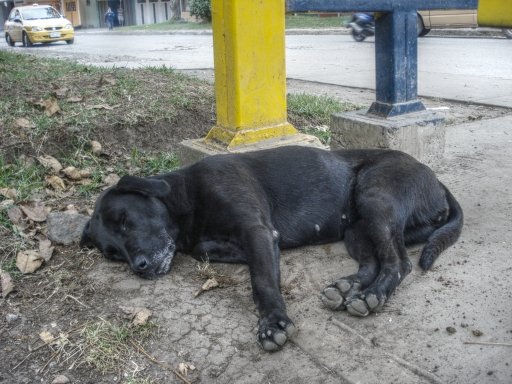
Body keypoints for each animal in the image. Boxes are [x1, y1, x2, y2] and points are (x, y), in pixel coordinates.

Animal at [81, 146, 464, 352]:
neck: (187, 199)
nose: (139, 266)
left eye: (125, 220)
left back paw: (372, 296)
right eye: (111, 253)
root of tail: (435, 180)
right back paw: (349, 288)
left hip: (376, 199)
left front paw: (273, 323)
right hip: (356, 229)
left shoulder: (258, 232)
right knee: (374, 261)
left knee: (398, 263)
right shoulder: (232, 243)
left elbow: (262, 282)